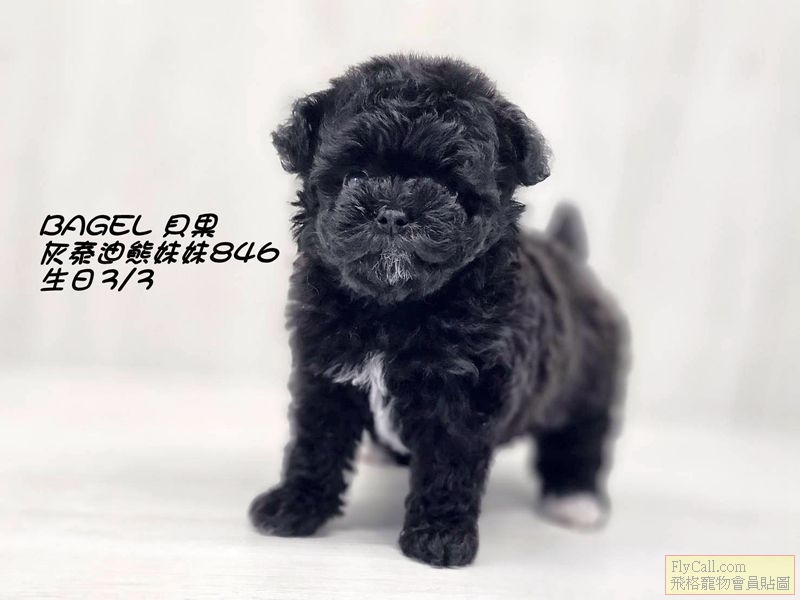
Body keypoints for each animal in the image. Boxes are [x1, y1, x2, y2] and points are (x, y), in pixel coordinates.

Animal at [249, 54, 629, 567]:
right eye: (354, 177)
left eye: (448, 186)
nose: (392, 211)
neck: (392, 309)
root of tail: (570, 258)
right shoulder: (324, 373)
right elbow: (315, 443)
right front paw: (295, 505)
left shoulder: (464, 394)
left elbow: (449, 466)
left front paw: (439, 536)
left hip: (586, 381)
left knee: (581, 437)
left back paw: (575, 498)